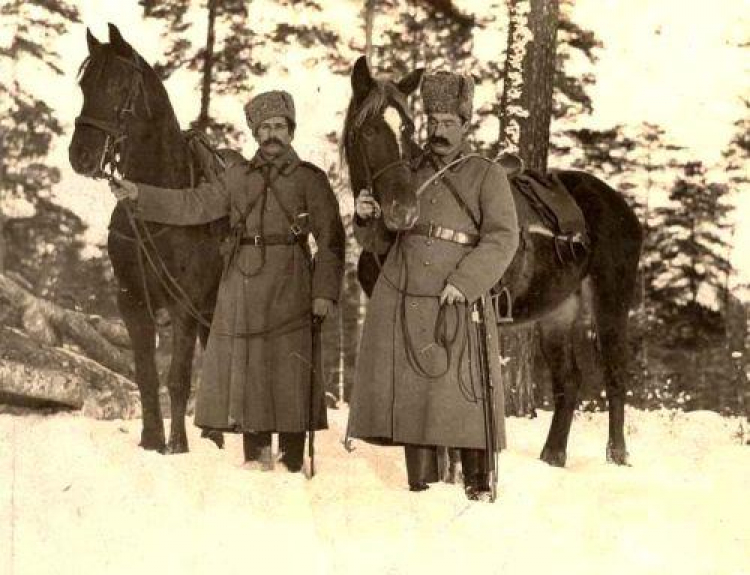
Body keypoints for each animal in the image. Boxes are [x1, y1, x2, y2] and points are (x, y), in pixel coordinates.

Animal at [69, 23, 225, 454]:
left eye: (119, 85)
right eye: (85, 84)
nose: (81, 155)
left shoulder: (184, 304)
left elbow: (178, 378)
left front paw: (177, 446)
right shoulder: (133, 302)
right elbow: (145, 374)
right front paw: (151, 440)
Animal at [344, 55, 644, 468]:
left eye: (406, 129)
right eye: (370, 130)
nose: (403, 211)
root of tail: (621, 207)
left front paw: (452, 469)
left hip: (611, 302)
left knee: (615, 374)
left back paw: (616, 453)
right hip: (557, 312)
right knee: (569, 381)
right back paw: (553, 455)